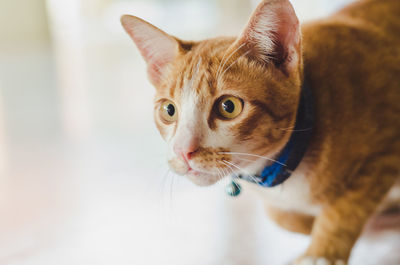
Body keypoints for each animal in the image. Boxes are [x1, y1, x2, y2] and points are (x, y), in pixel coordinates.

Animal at [122, 0, 400, 262]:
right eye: (169, 110)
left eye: (228, 107)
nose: (183, 151)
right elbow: (282, 216)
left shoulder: (387, 150)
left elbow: (345, 209)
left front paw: (321, 253)